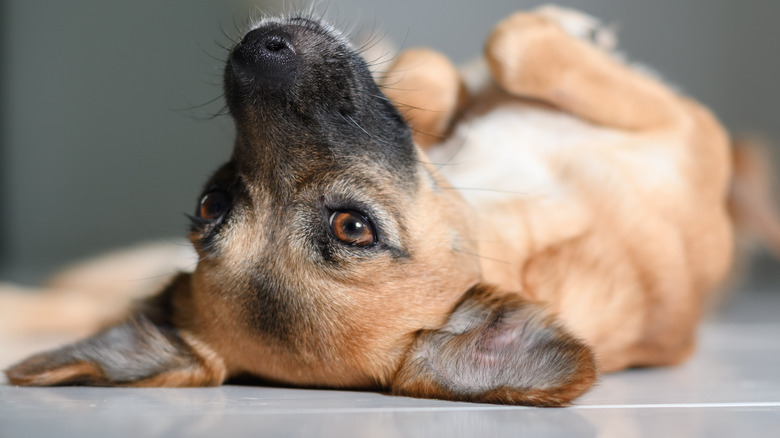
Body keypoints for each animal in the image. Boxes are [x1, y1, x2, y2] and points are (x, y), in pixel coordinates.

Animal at [1, 6, 732, 408]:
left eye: (209, 205)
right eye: (354, 228)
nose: (261, 52)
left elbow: (452, 67)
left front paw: (437, 87)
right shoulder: (688, 126)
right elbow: (515, 42)